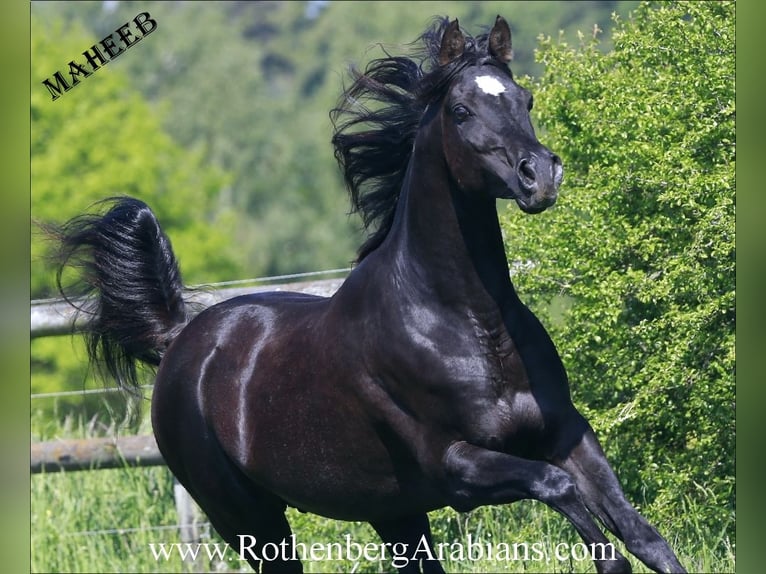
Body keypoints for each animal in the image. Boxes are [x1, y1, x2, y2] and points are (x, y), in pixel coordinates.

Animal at [55, 15, 688, 572]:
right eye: (461, 111)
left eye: (525, 99)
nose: (541, 176)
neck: (469, 324)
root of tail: (182, 339)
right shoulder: (457, 465)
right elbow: (570, 503)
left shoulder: (567, 436)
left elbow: (645, 538)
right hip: (248, 520)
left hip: (392, 512)